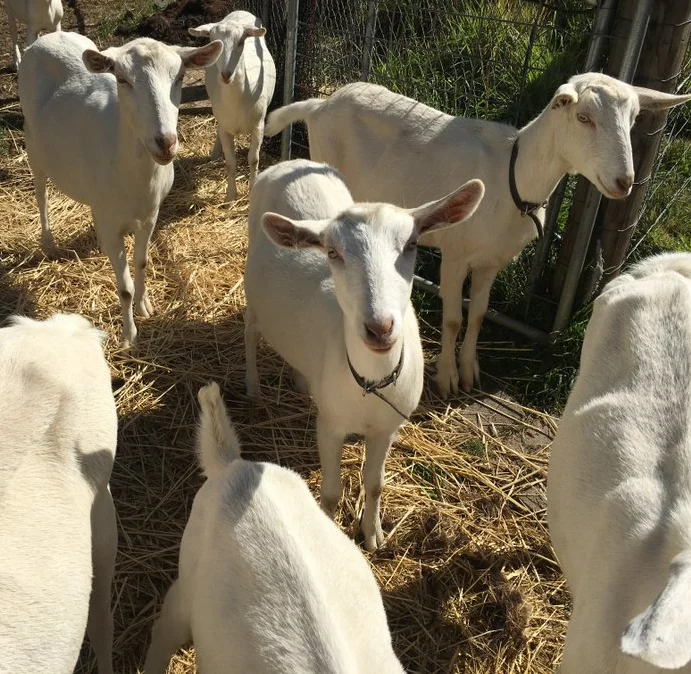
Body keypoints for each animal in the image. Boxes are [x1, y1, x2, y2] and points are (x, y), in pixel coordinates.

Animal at [18, 31, 222, 346]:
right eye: (123, 80)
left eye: (180, 77)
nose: (165, 142)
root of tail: (50, 36)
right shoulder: (110, 220)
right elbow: (124, 286)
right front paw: (129, 336)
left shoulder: (150, 216)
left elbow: (142, 263)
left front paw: (145, 306)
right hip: (32, 143)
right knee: (40, 192)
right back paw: (48, 241)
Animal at [189, 10, 276, 203]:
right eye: (214, 41)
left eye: (241, 41)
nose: (226, 74)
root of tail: (240, 12)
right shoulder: (225, 126)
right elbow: (230, 162)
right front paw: (230, 197)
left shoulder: (258, 126)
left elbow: (253, 159)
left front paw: (251, 191)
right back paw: (215, 154)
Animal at [243, 159, 484, 550]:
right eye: (332, 252)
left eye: (412, 244)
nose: (380, 327)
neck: (370, 383)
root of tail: (294, 162)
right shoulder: (330, 425)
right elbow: (329, 494)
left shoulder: (386, 428)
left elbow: (374, 485)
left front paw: (373, 535)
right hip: (252, 286)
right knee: (250, 330)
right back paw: (252, 386)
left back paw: (300, 380)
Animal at [264, 75, 691, 398]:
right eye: (584, 117)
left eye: (634, 119)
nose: (624, 182)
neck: (512, 176)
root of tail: (319, 105)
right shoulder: (455, 255)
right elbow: (454, 318)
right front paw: (447, 378)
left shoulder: (492, 261)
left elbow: (481, 313)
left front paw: (470, 371)